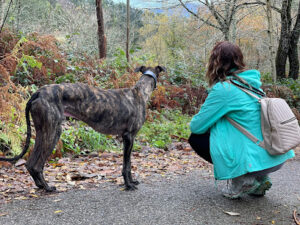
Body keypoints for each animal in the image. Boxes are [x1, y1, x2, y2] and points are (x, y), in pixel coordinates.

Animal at [0, 65, 166, 192]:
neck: (139, 92)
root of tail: (37, 93)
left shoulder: (128, 138)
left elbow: (129, 164)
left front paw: (132, 181)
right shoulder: (128, 137)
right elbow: (126, 165)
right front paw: (128, 185)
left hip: (43, 130)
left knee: (30, 163)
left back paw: (41, 186)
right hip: (53, 132)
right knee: (36, 164)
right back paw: (47, 188)